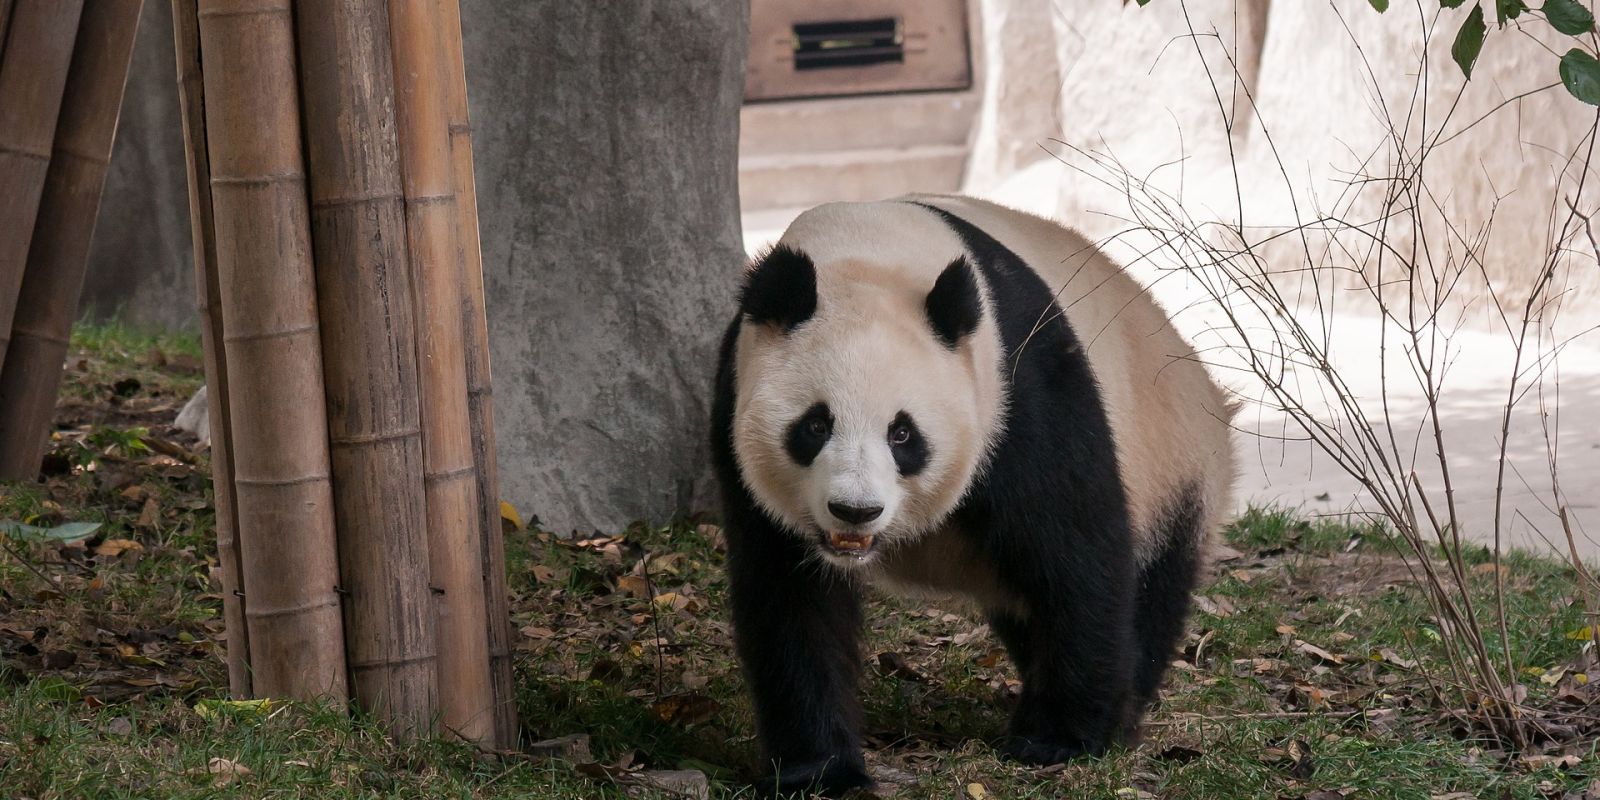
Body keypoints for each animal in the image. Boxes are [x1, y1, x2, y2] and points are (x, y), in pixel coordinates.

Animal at [709, 195, 1236, 795]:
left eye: (902, 434)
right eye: (815, 426)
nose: (855, 511)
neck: (867, 252)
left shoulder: (1020, 387)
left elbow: (1076, 557)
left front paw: (1059, 740)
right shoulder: (736, 408)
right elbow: (792, 602)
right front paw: (819, 771)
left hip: (1172, 466)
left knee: (1149, 586)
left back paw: (1122, 712)